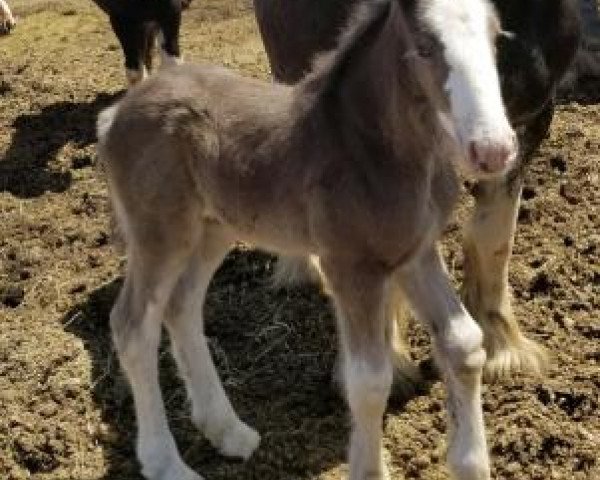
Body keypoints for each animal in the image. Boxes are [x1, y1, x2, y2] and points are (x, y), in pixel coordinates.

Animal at [99, 0, 516, 480]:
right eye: (426, 46)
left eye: (496, 38)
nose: (494, 151)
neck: (370, 149)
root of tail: (114, 115)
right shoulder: (350, 265)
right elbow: (369, 380)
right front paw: (369, 469)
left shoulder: (415, 253)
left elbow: (464, 343)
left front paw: (472, 463)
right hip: (160, 234)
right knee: (132, 326)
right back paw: (166, 463)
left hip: (212, 229)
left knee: (181, 306)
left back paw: (228, 432)